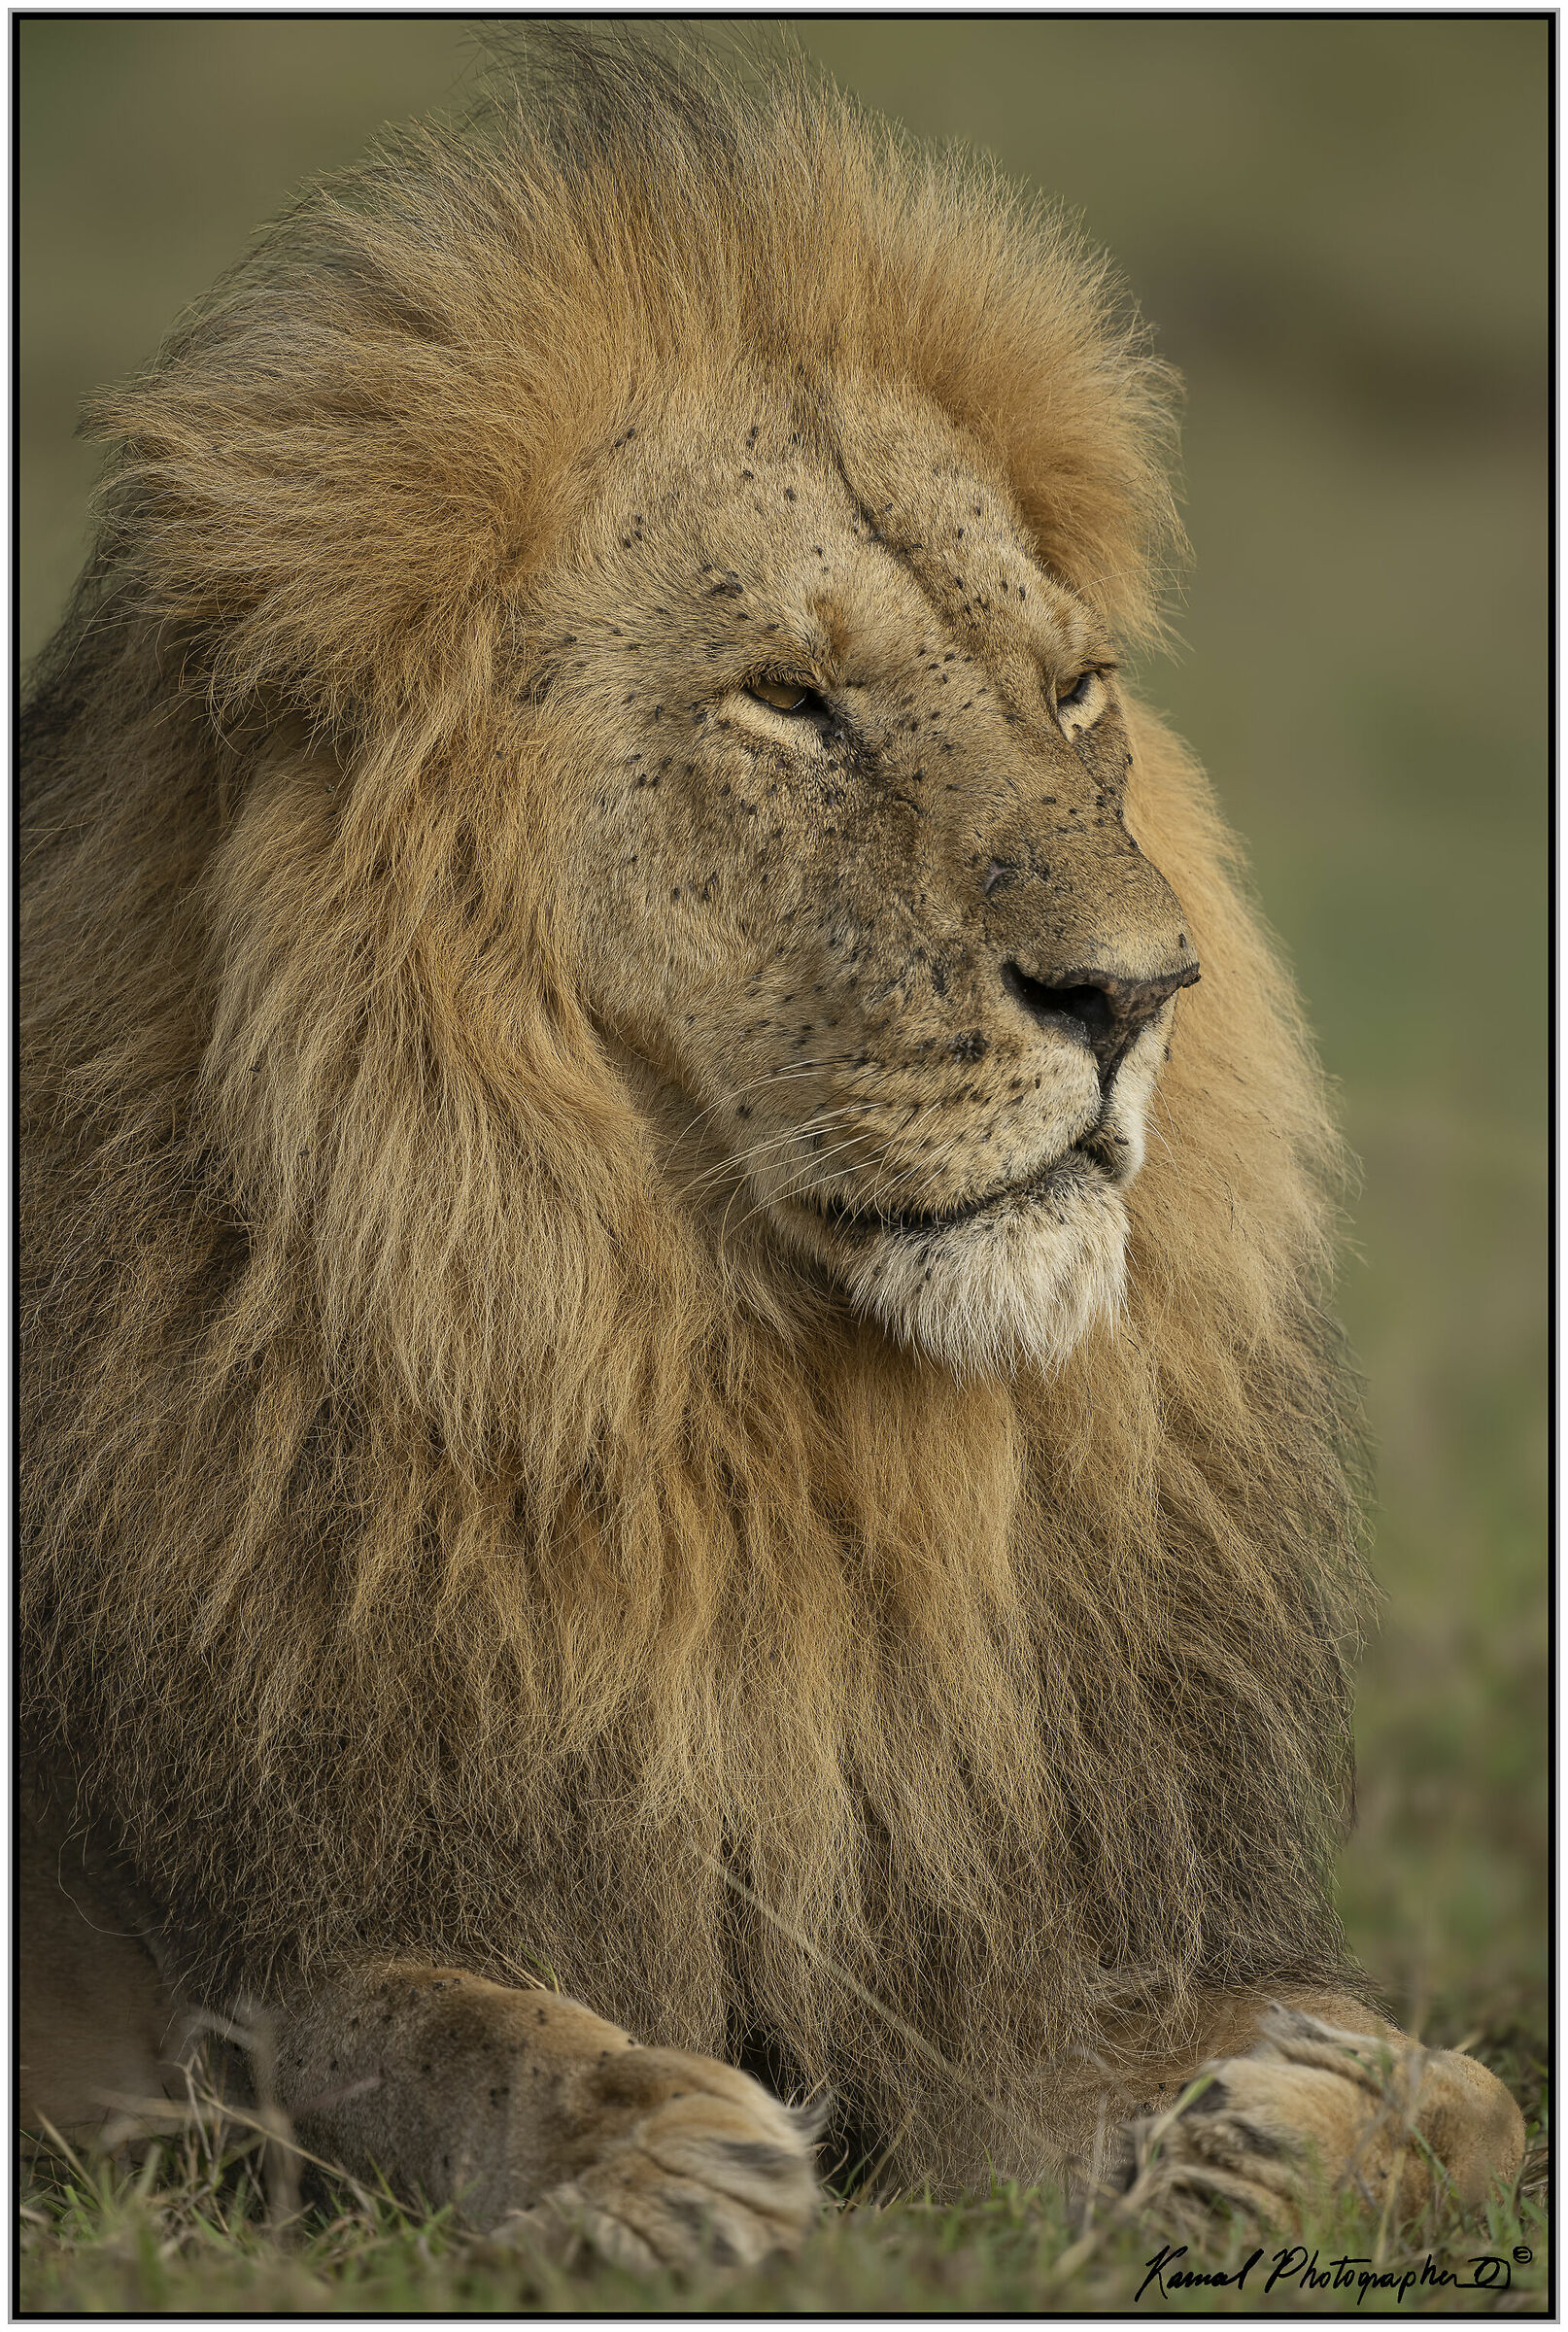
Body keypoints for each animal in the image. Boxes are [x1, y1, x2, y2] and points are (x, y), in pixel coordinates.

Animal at [22, 30, 1523, 2271]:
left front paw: (1324, 2115)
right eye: (791, 702)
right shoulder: (194, 1936)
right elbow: (372, 2023)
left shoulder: (970, 1919)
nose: (1138, 990)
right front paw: (637, 2146)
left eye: (1072, 692)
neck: (727, 1424)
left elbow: (1473, 2104)